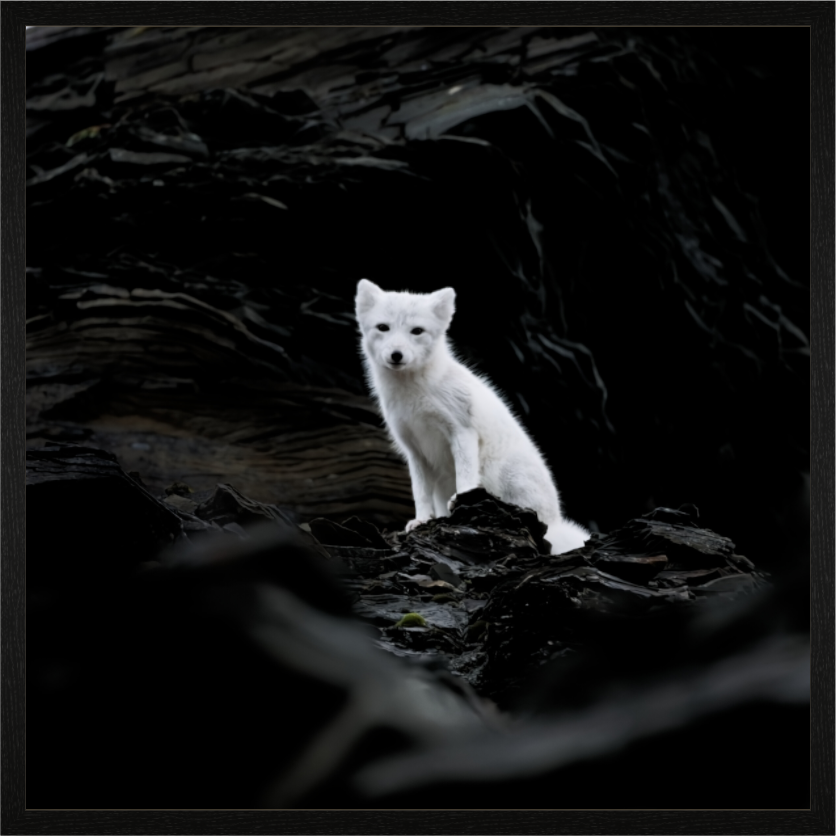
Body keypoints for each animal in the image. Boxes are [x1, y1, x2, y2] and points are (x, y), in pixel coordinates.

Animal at [354, 278, 589, 555]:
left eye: (417, 331)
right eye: (383, 327)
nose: (396, 355)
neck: (415, 394)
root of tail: (555, 520)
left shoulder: (462, 431)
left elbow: (465, 475)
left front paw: (462, 502)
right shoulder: (414, 449)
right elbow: (419, 492)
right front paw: (421, 520)